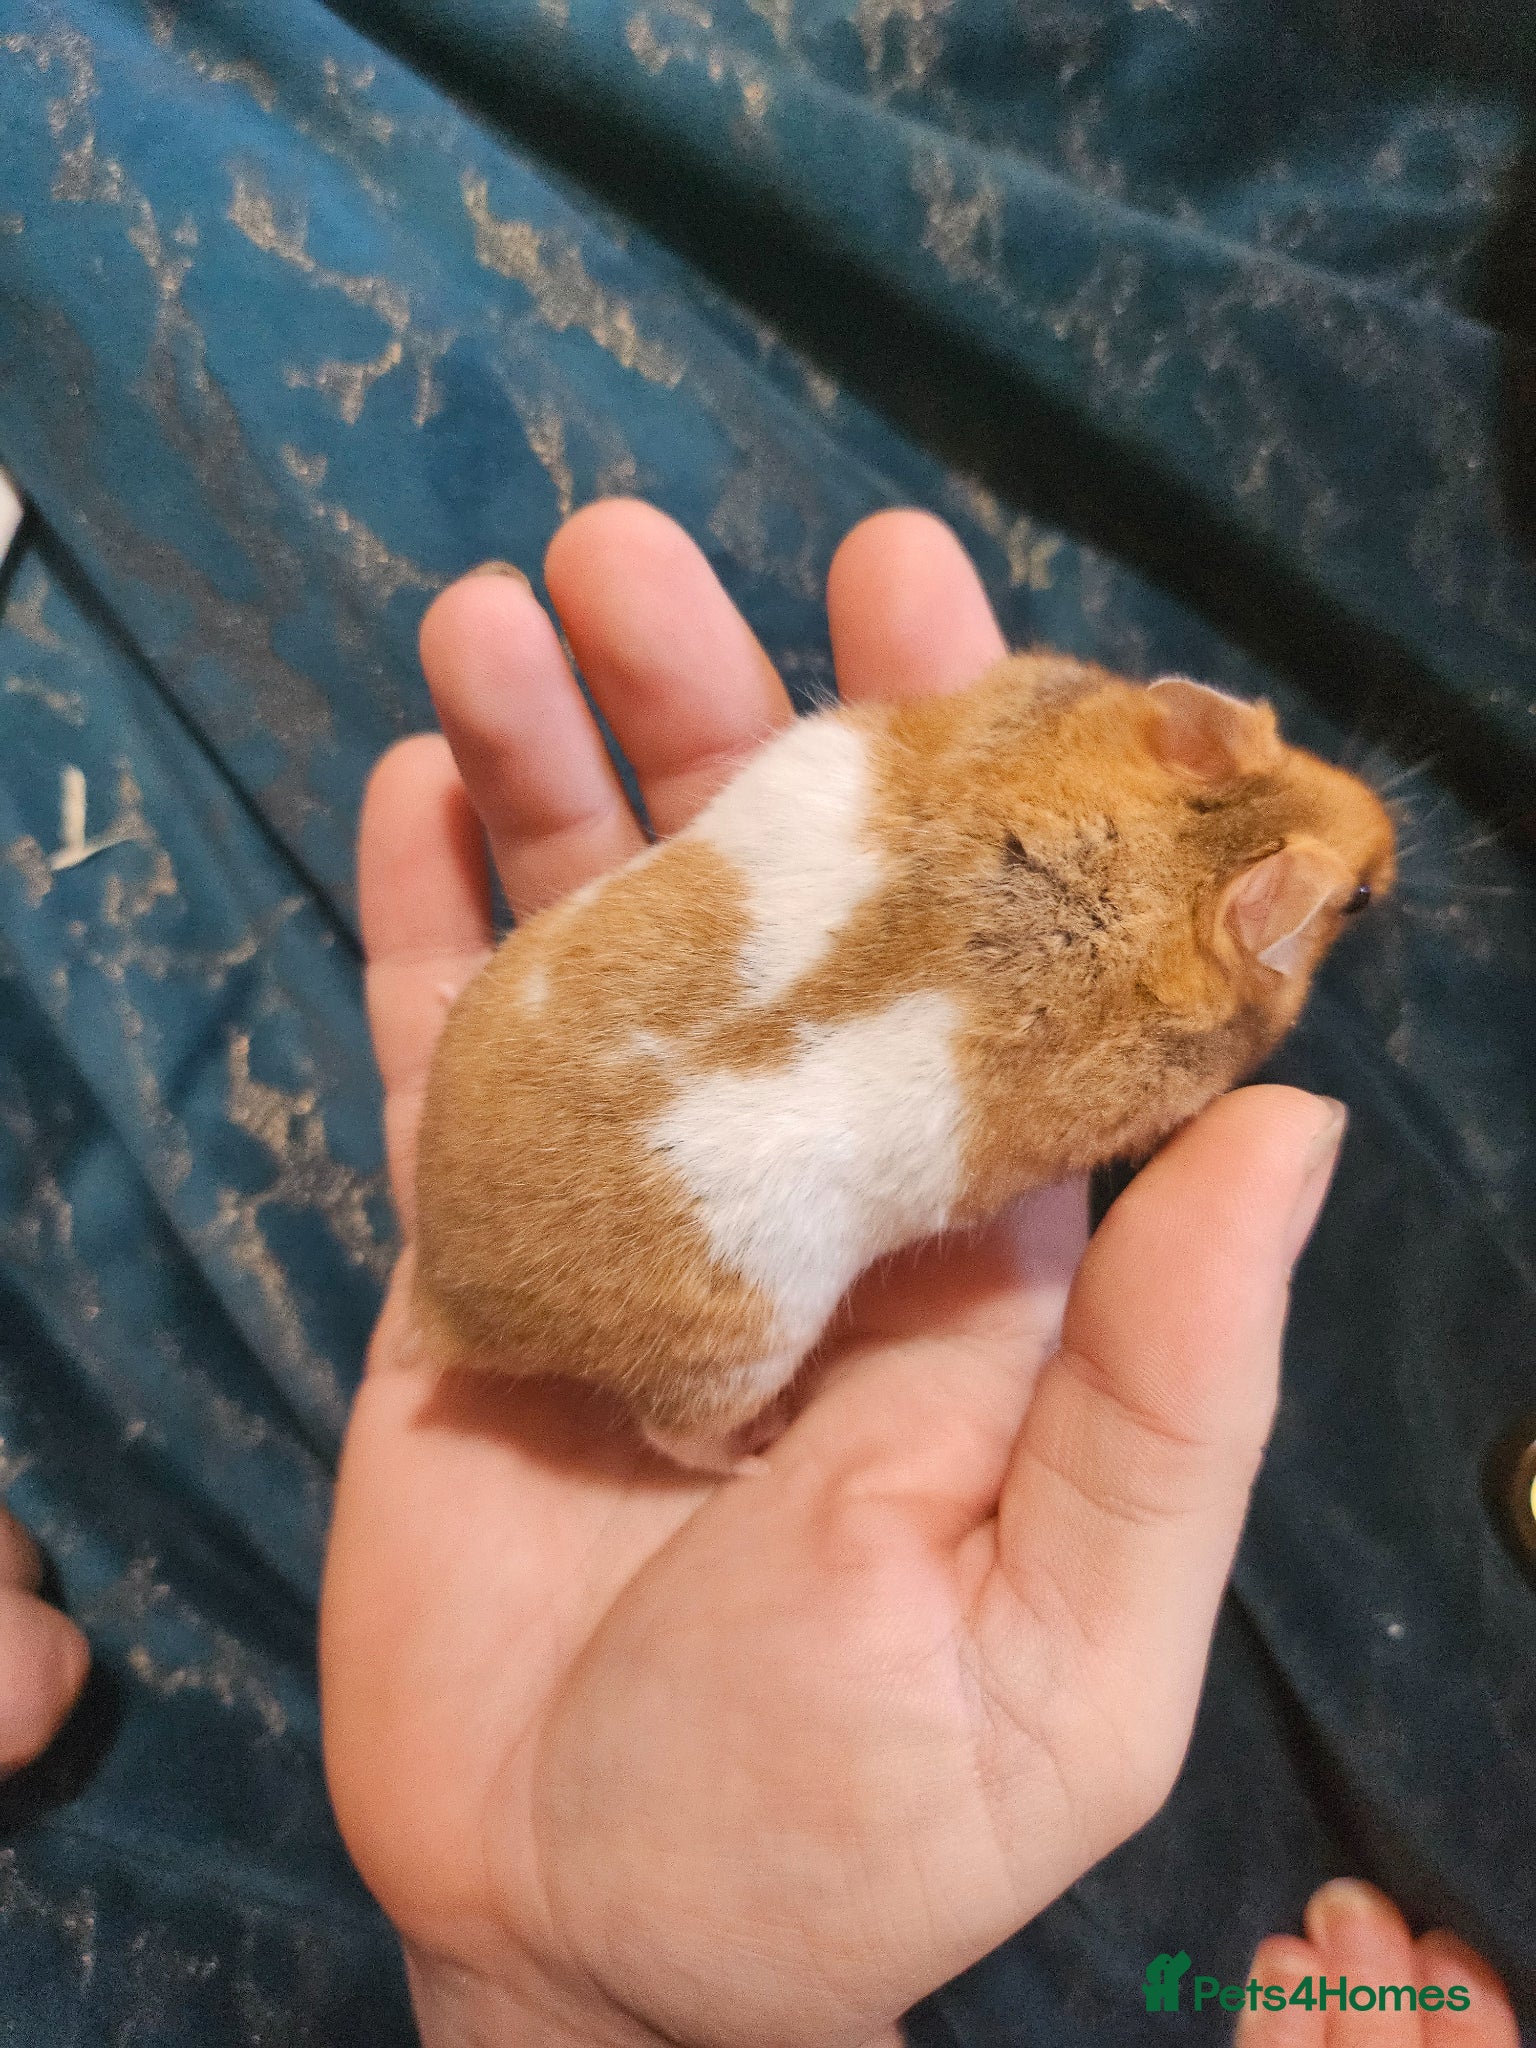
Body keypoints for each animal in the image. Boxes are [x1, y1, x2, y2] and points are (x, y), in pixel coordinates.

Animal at [413, 654, 1395, 1470]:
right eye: (1355, 898)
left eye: (1293, 747)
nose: (1389, 831)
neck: (1167, 857)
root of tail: (446, 1304)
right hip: (735, 1360)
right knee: (678, 1439)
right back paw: (763, 1449)